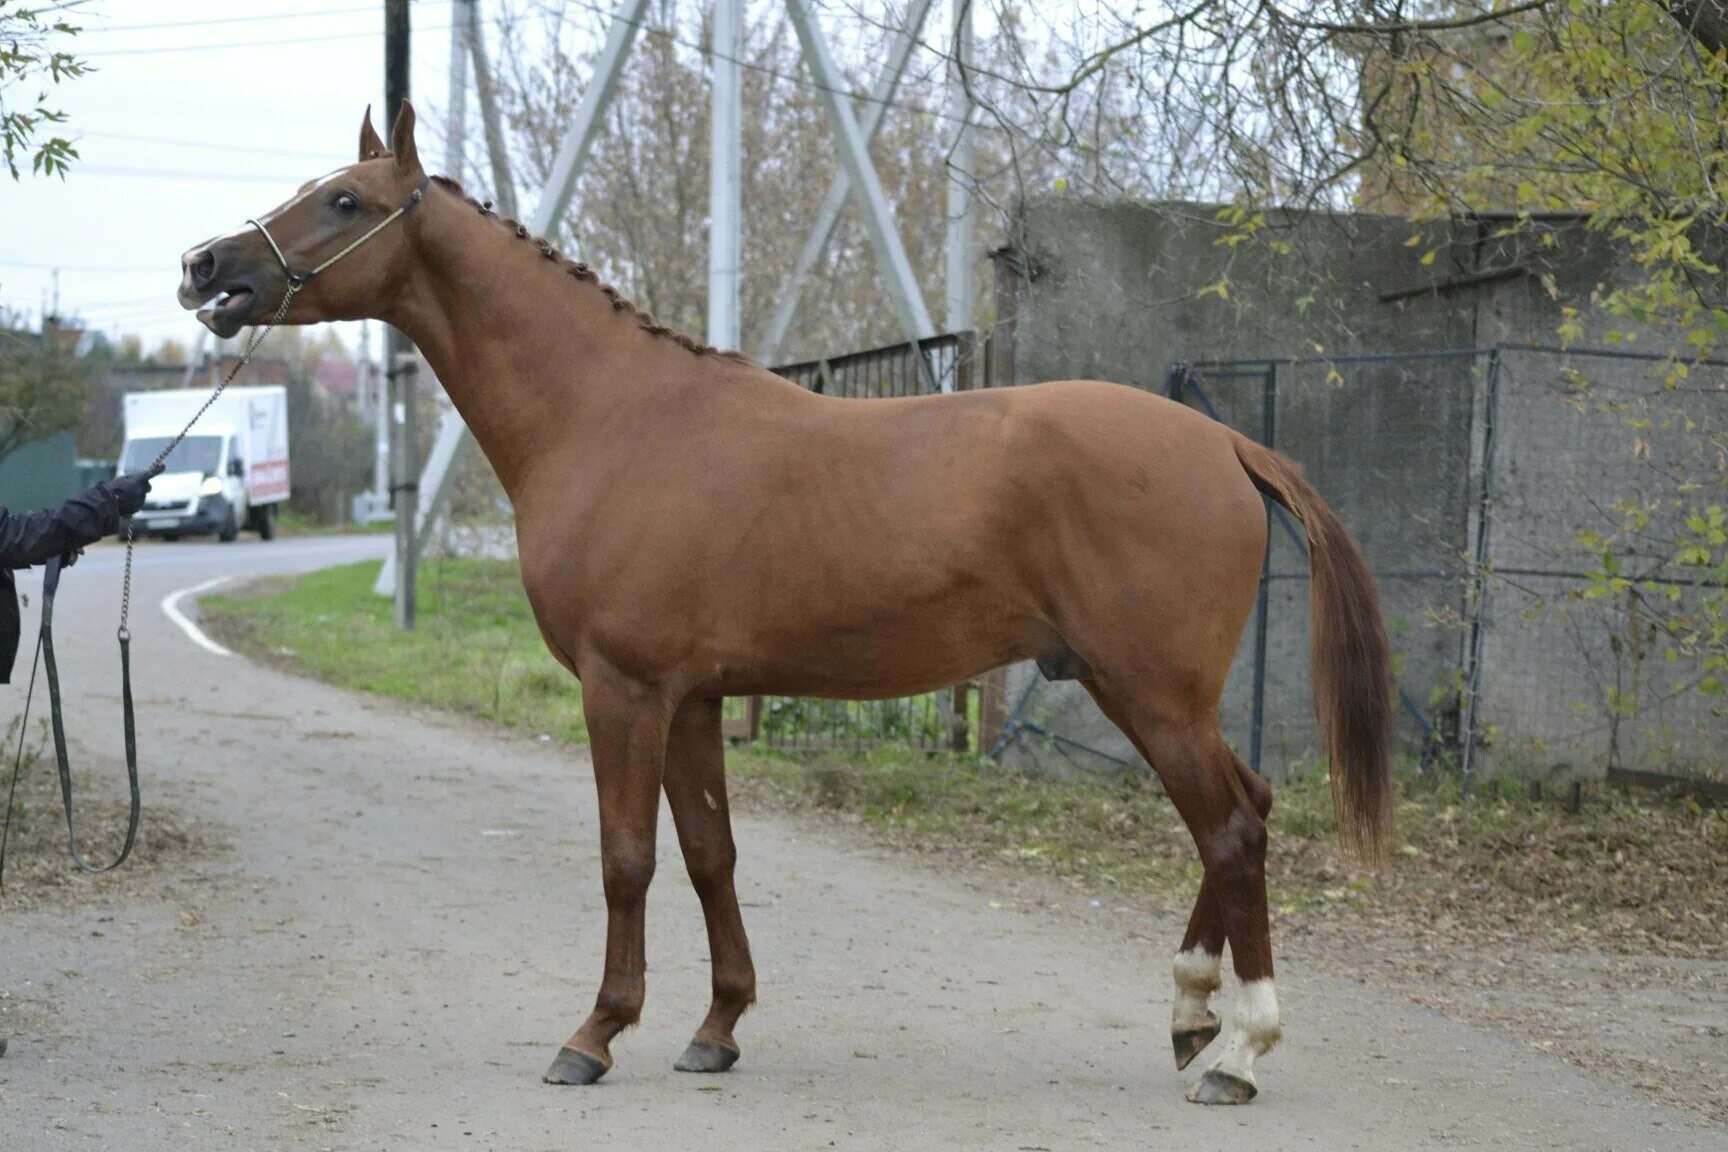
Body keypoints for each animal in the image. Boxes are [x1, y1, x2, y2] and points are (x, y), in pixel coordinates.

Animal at [178, 107, 1389, 1105]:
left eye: (346, 201)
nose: (205, 265)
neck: (611, 416)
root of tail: (1224, 443)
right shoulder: (694, 699)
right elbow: (710, 854)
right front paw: (715, 1028)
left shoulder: (625, 691)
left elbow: (627, 859)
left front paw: (594, 1035)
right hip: (1143, 691)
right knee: (1244, 815)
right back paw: (1190, 1016)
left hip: (1152, 692)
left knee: (1231, 829)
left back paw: (1239, 1052)